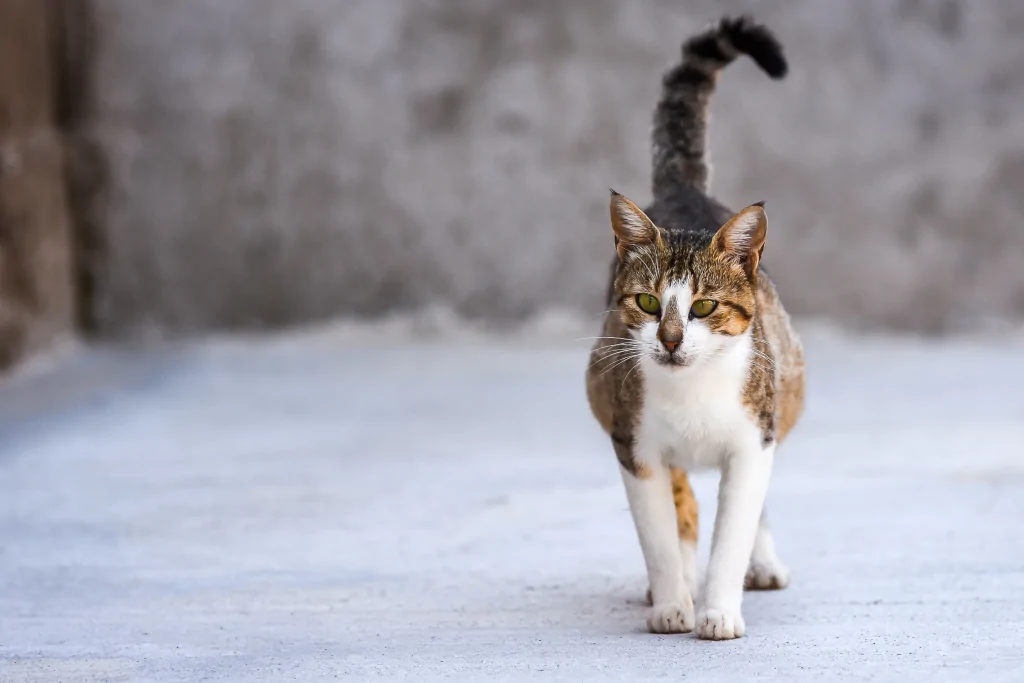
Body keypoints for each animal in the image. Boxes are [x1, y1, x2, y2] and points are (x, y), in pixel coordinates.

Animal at [589, 15, 802, 638]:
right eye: (646, 302)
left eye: (704, 308)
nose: (670, 338)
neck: (692, 393)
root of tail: (683, 191)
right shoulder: (632, 443)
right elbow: (658, 533)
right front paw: (672, 603)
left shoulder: (753, 439)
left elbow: (735, 527)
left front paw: (719, 610)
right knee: (684, 502)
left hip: (784, 392)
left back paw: (762, 564)